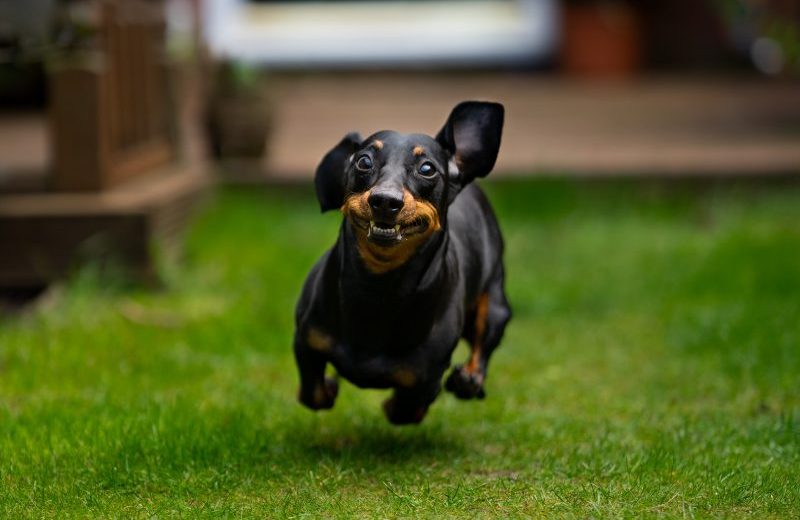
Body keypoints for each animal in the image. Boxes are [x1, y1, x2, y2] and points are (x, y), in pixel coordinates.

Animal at [294, 102, 512, 426]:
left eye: (427, 169)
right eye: (363, 161)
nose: (385, 200)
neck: (378, 287)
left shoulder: (427, 377)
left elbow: (407, 409)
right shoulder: (306, 342)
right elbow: (313, 393)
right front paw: (330, 386)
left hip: (495, 305)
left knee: (482, 346)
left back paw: (468, 380)